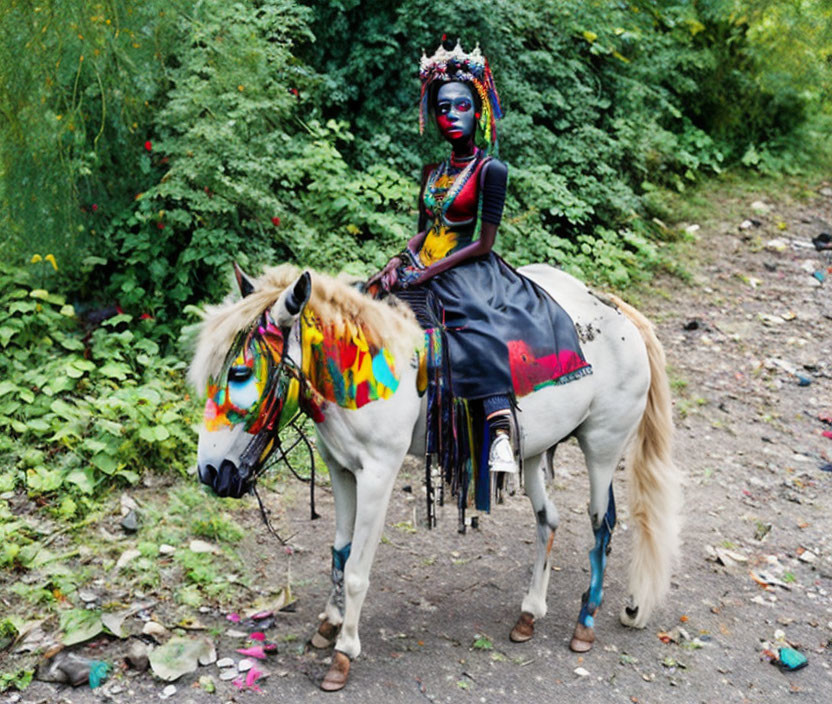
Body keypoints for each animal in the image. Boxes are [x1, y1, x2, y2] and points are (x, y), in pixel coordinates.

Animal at [190, 264, 684, 692]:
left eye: (241, 372)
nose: (211, 473)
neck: (367, 363)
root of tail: (618, 311)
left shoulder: (377, 475)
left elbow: (356, 571)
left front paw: (343, 654)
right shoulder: (340, 468)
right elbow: (339, 553)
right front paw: (328, 626)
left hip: (601, 448)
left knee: (602, 528)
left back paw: (585, 623)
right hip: (532, 453)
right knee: (550, 521)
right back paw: (529, 615)